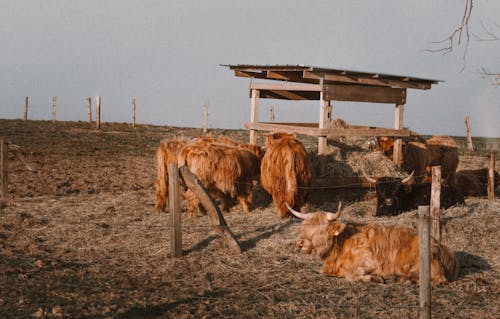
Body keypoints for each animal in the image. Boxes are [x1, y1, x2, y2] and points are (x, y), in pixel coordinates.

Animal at [288, 204, 458, 286]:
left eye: (320, 230)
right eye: (303, 227)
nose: (300, 242)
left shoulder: (369, 262)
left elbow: (352, 275)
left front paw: (375, 278)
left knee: (438, 279)